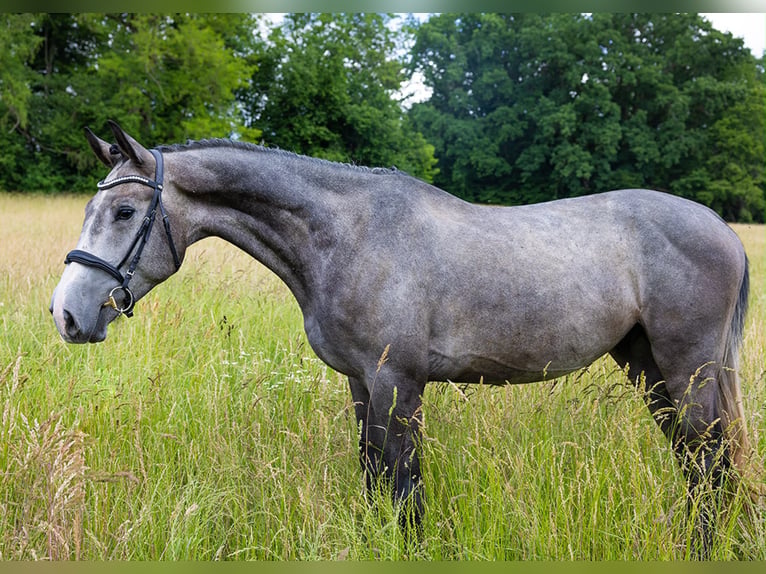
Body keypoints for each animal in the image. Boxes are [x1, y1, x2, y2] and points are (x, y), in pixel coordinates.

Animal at [50, 121, 751, 554]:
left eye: (124, 211)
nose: (66, 315)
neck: (347, 237)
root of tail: (722, 227)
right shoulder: (361, 384)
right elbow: (373, 479)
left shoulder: (397, 384)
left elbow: (404, 487)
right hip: (648, 368)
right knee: (698, 464)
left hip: (687, 371)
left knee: (711, 464)